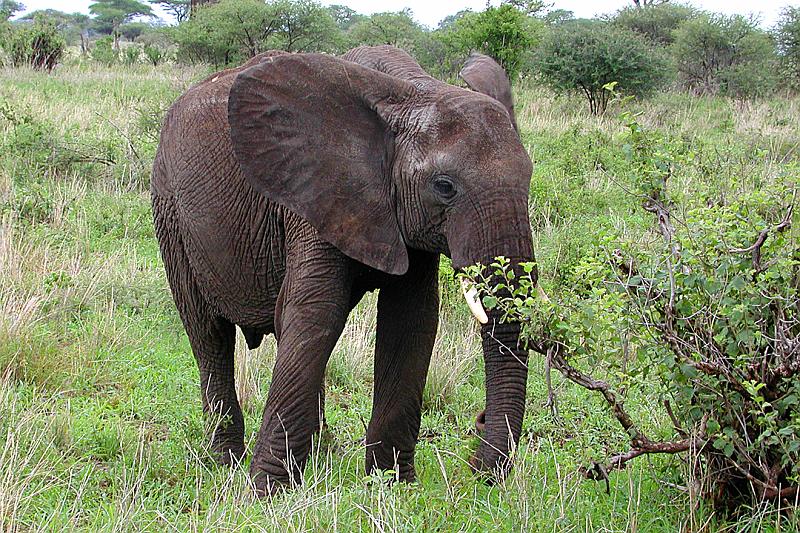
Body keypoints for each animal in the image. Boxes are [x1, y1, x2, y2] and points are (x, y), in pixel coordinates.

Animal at [151, 45, 535, 495]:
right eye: (444, 187)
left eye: (530, 176)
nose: (477, 465)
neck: (416, 91)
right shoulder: (313, 197)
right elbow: (318, 313)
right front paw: (267, 493)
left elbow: (411, 322)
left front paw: (392, 486)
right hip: (171, 213)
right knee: (208, 333)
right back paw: (224, 462)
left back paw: (321, 452)